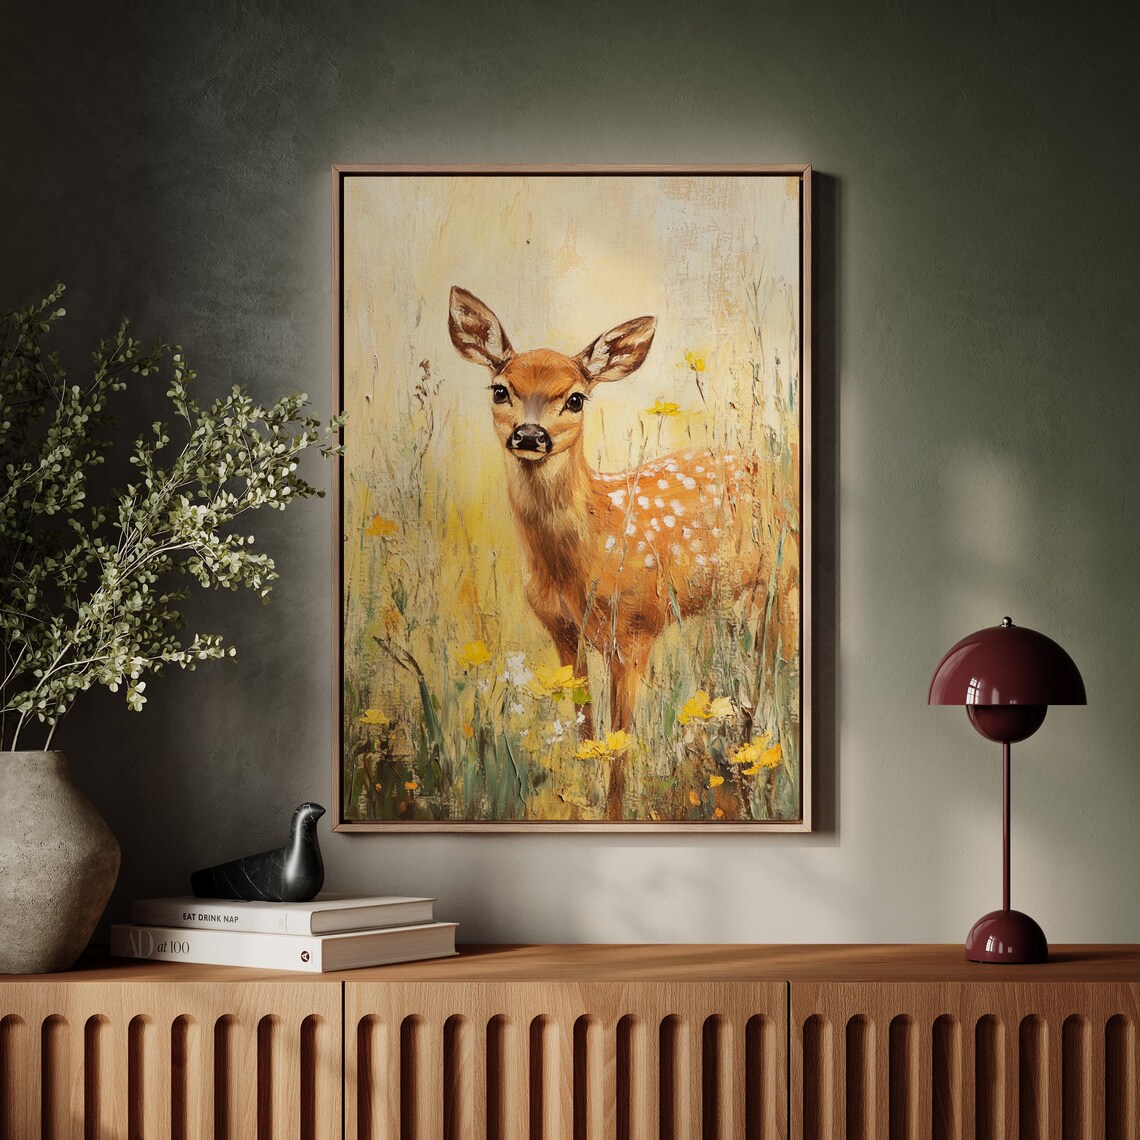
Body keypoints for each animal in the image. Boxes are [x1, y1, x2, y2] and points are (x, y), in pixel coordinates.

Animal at [448, 286, 776, 818]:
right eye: (500, 390)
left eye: (575, 398)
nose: (530, 435)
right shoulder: (562, 631)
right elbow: (584, 728)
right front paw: (580, 797)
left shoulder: (636, 630)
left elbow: (620, 746)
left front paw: (613, 813)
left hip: (782, 586)